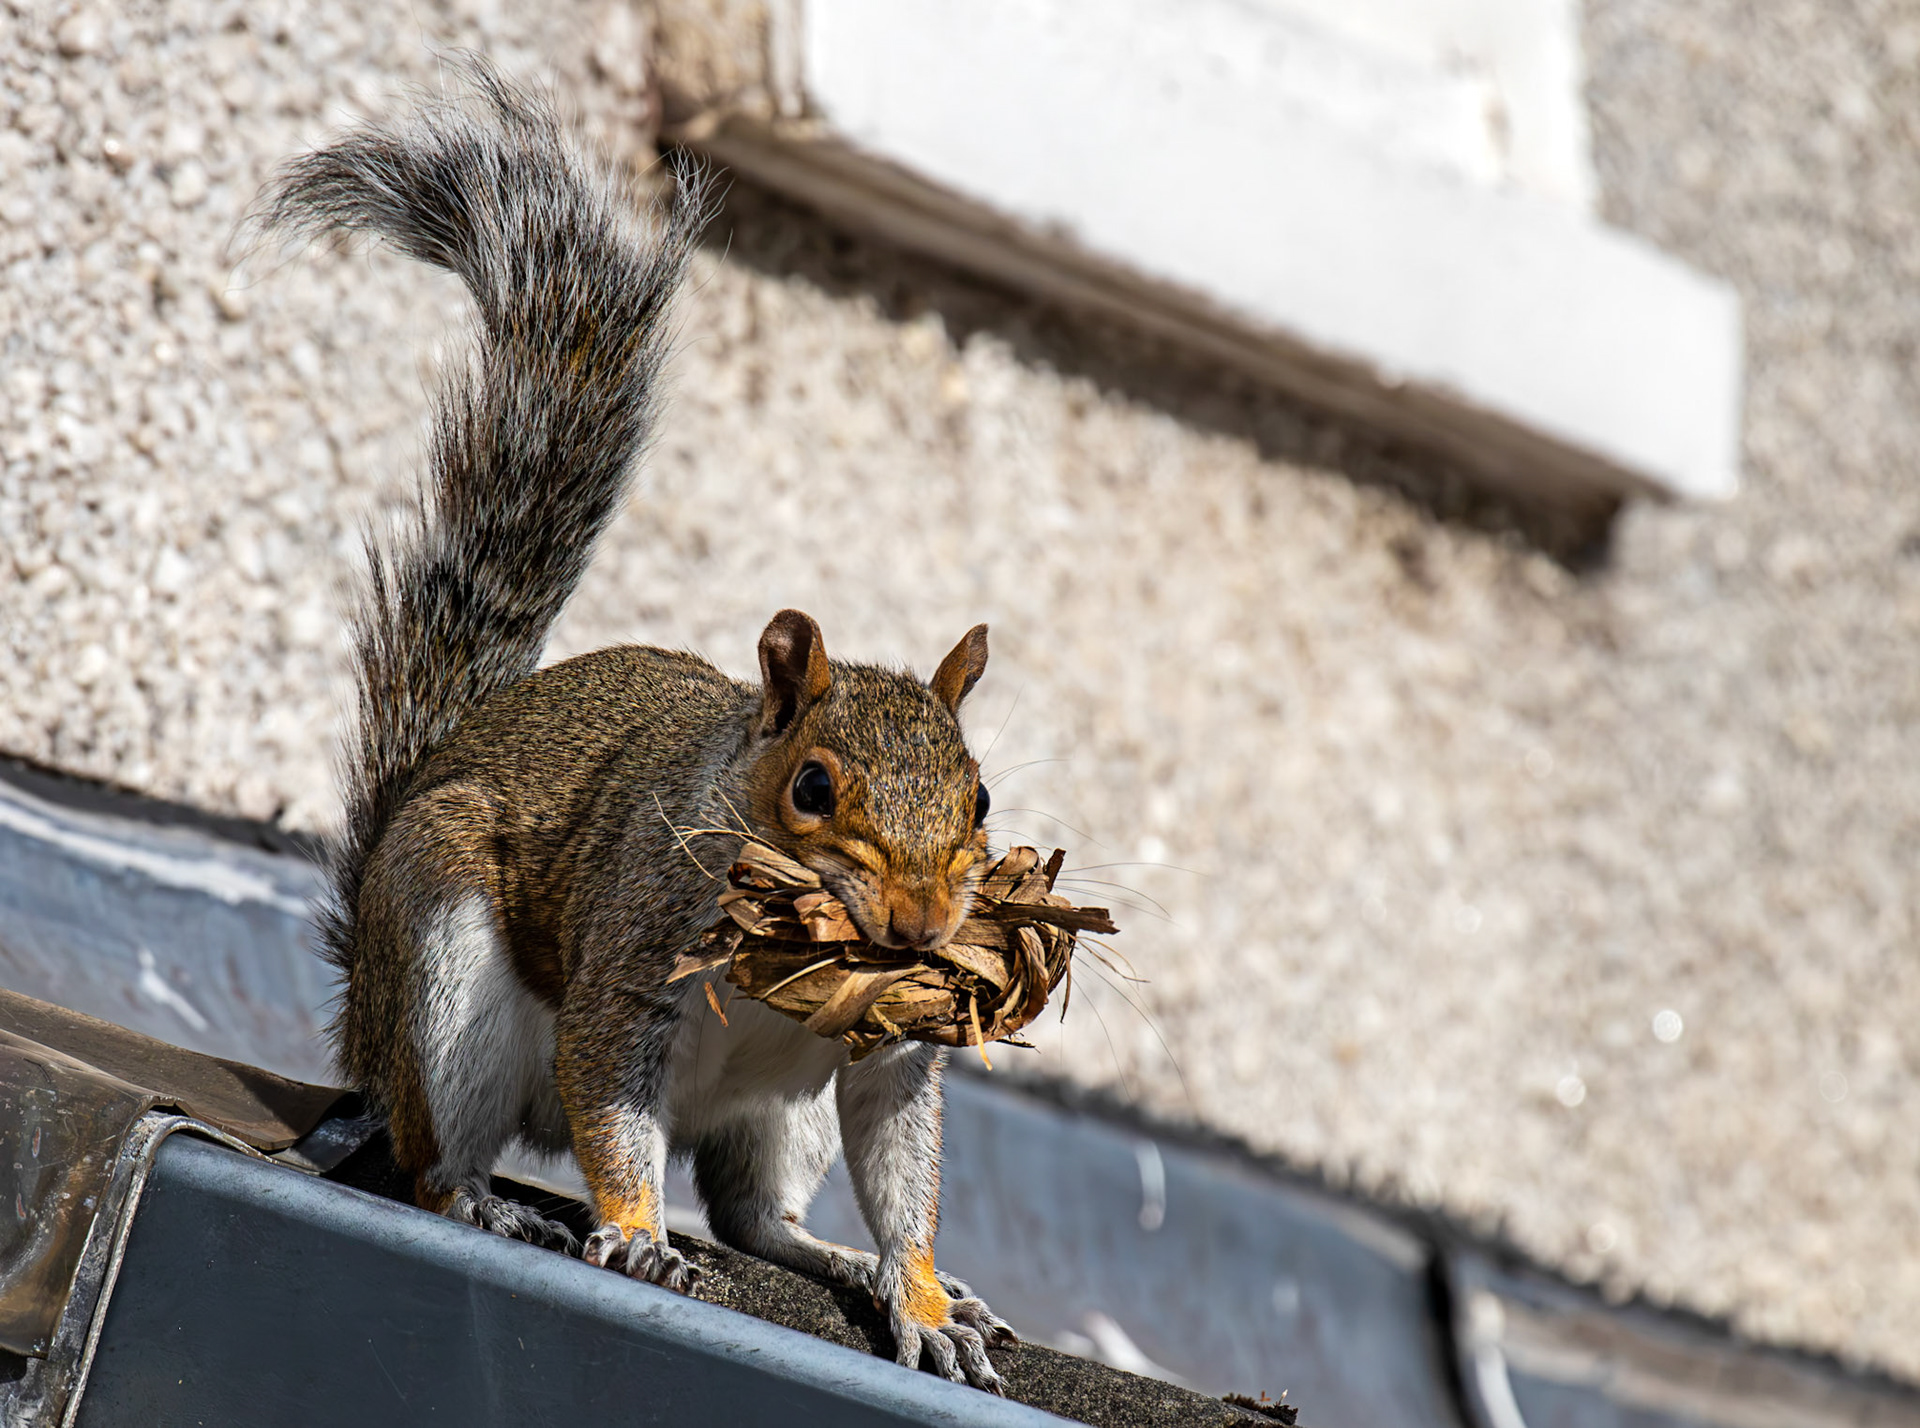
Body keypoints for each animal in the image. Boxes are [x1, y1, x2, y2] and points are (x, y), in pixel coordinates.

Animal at [260, 59, 1016, 1392]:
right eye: (811, 788)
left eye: (980, 799)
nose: (923, 926)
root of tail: (366, 1027)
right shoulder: (635, 944)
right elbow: (617, 1102)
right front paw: (632, 1235)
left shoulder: (887, 1046)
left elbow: (906, 1172)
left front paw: (923, 1300)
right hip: (447, 974)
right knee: (433, 1155)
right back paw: (490, 1199)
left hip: (779, 1119)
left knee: (756, 1216)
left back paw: (843, 1261)